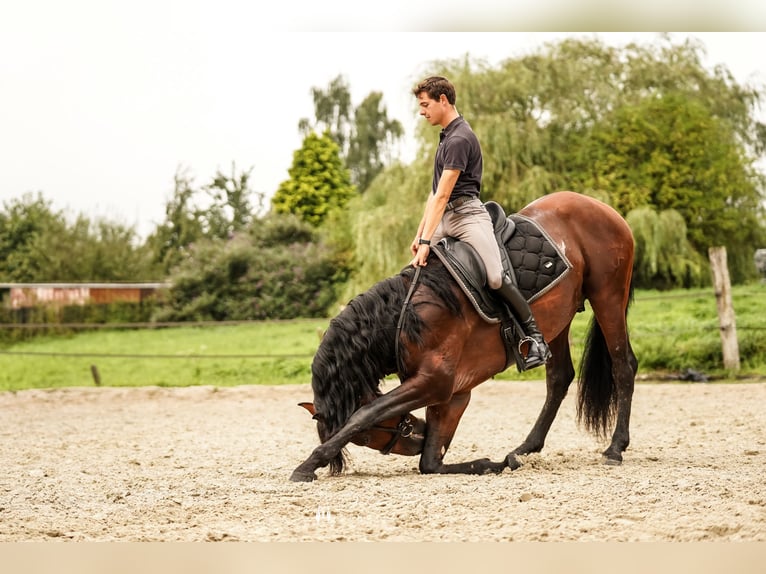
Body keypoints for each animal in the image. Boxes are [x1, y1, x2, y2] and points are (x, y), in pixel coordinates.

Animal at [292, 191, 640, 484]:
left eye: (364, 437)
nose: (416, 438)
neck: (407, 315)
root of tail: (601, 207)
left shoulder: (435, 383)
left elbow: (368, 412)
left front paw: (309, 464)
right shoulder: (453, 393)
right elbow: (431, 462)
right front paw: (492, 464)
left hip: (607, 297)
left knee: (623, 366)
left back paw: (615, 448)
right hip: (558, 319)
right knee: (559, 378)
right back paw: (526, 447)